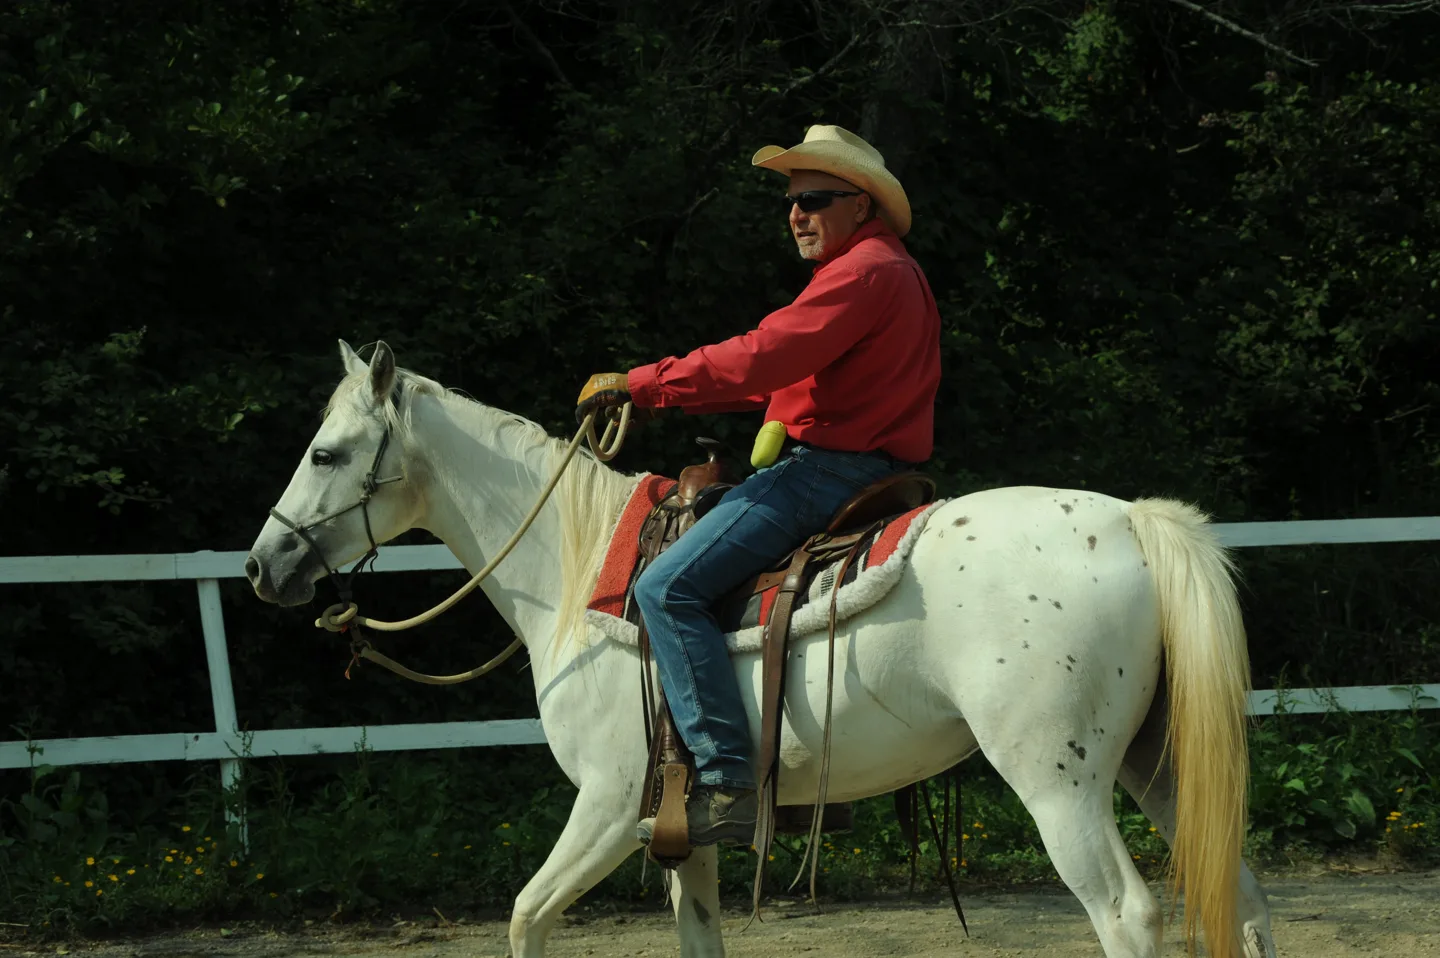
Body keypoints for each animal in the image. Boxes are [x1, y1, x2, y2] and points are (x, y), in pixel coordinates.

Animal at [244, 341, 1277, 958]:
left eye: (328, 453)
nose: (263, 564)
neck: (575, 570)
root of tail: (1134, 520)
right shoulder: (678, 828)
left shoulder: (609, 806)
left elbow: (527, 917)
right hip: (1158, 762)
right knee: (1243, 895)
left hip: (1058, 784)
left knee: (1128, 916)